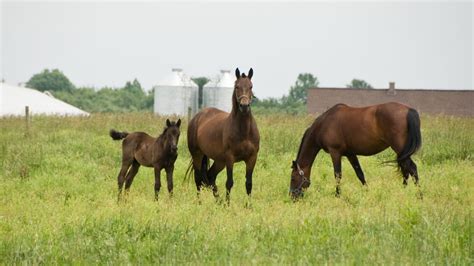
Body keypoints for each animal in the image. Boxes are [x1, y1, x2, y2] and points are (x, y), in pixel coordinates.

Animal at [186, 67, 260, 203]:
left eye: (251, 86)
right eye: (237, 86)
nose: (244, 106)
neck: (244, 131)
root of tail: (197, 117)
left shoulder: (252, 158)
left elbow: (249, 183)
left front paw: (249, 205)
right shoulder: (230, 158)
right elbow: (229, 182)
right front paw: (228, 204)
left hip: (220, 160)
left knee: (210, 176)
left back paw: (218, 202)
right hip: (197, 155)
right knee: (198, 179)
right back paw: (200, 203)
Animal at [288, 103, 422, 198]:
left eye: (293, 178)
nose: (292, 196)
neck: (324, 124)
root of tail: (409, 110)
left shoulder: (335, 152)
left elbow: (337, 175)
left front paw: (337, 195)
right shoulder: (350, 154)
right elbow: (360, 174)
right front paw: (367, 192)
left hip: (400, 149)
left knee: (412, 168)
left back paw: (419, 195)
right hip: (401, 152)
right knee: (406, 170)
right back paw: (403, 192)